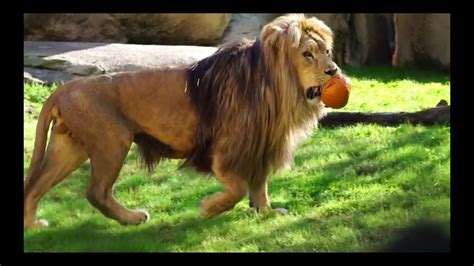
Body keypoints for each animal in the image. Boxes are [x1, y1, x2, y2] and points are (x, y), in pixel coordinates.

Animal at [24, 13, 340, 229]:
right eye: (307, 54)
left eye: (326, 51)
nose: (334, 71)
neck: (278, 88)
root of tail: (65, 87)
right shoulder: (224, 150)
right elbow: (237, 188)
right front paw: (210, 209)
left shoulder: (259, 147)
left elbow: (259, 186)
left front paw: (267, 213)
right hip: (111, 142)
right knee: (95, 191)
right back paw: (132, 218)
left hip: (69, 147)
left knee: (36, 186)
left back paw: (33, 226)